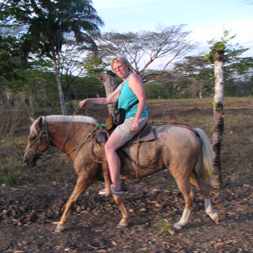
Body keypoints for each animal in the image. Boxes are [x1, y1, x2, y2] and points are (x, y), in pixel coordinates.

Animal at [23, 115, 219, 232]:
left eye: (32, 137)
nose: (26, 160)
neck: (82, 141)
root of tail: (191, 130)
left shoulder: (85, 177)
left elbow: (71, 199)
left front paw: (61, 224)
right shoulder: (108, 177)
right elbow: (116, 197)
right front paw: (125, 219)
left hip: (180, 173)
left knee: (189, 196)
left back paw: (181, 223)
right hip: (190, 172)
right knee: (204, 189)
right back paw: (212, 214)